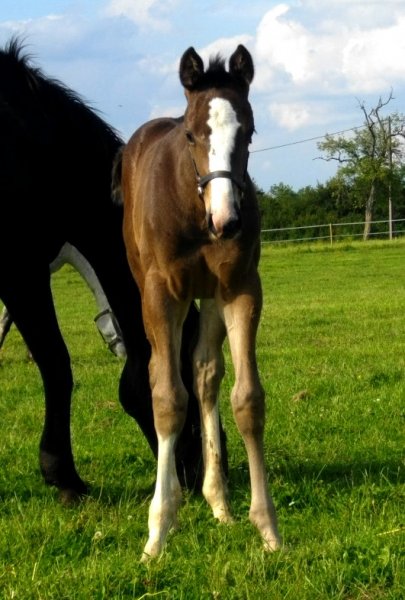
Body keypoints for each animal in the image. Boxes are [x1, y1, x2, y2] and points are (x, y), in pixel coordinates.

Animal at [118, 45, 280, 556]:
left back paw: (219, 503)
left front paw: (267, 528)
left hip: (208, 295)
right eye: (191, 133)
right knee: (161, 374)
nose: (226, 220)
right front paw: (157, 531)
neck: (193, 209)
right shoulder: (161, 292)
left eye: (249, 130)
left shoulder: (241, 287)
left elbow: (247, 399)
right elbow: (168, 399)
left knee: (205, 373)